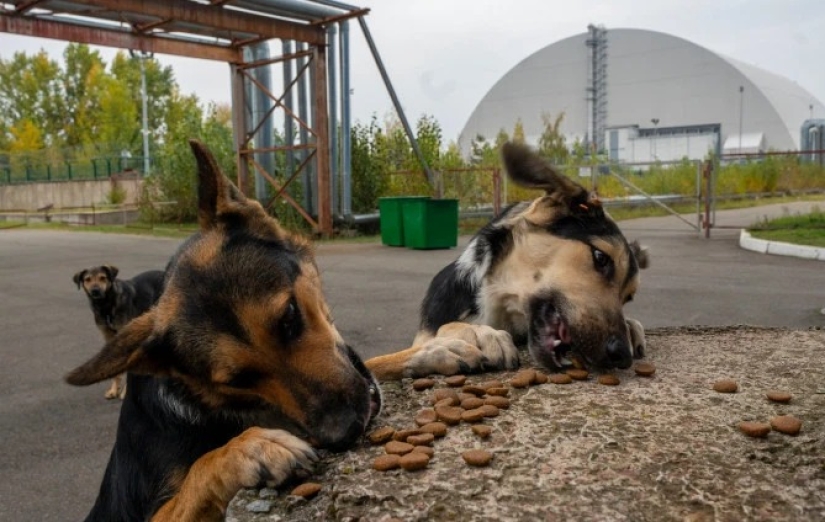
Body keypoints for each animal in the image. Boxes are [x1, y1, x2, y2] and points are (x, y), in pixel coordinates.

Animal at [72, 264, 166, 398]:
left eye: (103, 278)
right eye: (87, 279)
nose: (95, 291)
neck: (106, 306)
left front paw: (125, 392)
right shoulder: (109, 337)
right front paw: (114, 389)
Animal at [364, 141, 648, 378]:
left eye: (628, 297)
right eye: (601, 258)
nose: (622, 356)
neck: (497, 304)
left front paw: (631, 324)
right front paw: (476, 334)